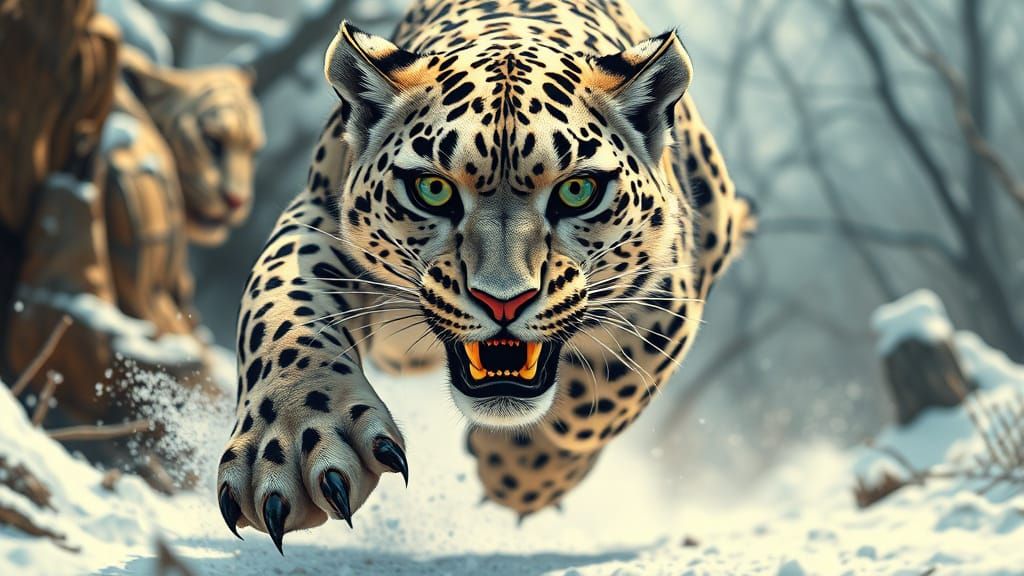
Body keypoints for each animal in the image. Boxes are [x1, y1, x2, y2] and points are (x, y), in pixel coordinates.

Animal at [216, 0, 756, 553]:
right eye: (432, 189)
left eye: (578, 191)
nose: (503, 301)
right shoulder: (318, 212)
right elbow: (282, 313)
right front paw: (293, 446)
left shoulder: (671, 285)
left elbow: (598, 402)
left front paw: (516, 469)